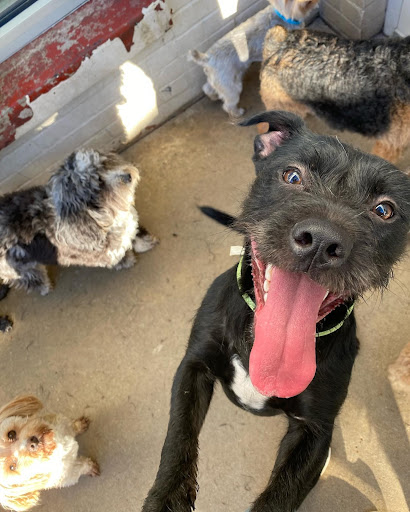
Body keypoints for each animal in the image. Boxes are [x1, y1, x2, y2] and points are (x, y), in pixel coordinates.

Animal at [0, 148, 157, 296]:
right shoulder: (108, 251)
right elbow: (120, 255)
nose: (128, 176)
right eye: (99, 183)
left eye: (104, 165)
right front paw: (128, 261)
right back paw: (44, 287)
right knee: (30, 277)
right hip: (18, 268)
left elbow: (137, 235)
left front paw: (146, 243)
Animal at [142, 112, 410, 512]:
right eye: (292, 176)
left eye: (384, 210)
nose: (321, 240)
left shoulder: (315, 431)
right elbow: (178, 439)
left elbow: (280, 495)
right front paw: (166, 498)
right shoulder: (192, 368)